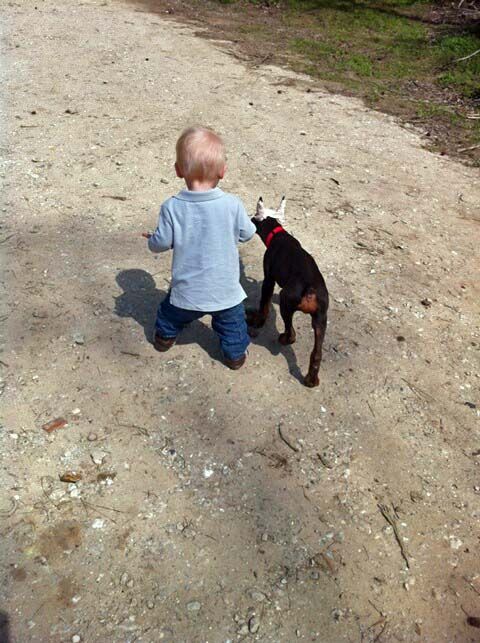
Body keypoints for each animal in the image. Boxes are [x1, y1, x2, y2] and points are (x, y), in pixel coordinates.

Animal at [248, 196, 330, 388]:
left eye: (254, 216)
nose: (248, 218)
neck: (278, 234)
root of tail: (310, 289)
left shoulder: (268, 279)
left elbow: (264, 303)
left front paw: (258, 320)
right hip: (321, 319)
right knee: (317, 354)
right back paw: (311, 380)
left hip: (287, 303)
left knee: (291, 333)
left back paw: (283, 339)